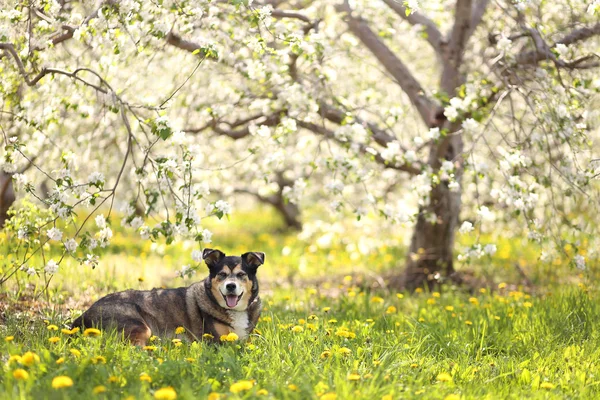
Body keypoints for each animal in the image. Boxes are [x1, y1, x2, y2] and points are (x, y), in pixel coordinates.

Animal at [71, 248, 264, 346]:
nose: (230, 286)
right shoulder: (218, 342)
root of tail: (83, 316)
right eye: (222, 275)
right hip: (140, 326)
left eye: (241, 275)